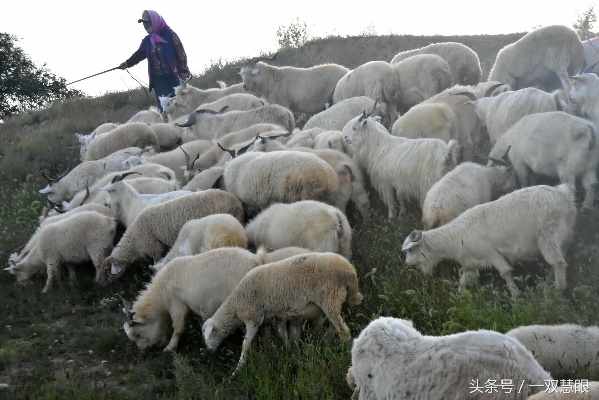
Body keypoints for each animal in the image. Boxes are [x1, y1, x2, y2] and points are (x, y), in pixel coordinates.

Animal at [102, 188, 244, 278]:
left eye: (112, 266)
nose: (112, 278)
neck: (134, 240)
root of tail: (235, 201)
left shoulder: (154, 248)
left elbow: (157, 262)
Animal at [202, 253, 364, 372]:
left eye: (209, 334)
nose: (209, 351)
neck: (235, 305)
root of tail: (350, 271)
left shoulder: (253, 318)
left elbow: (245, 345)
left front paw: (238, 370)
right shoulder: (279, 314)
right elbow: (282, 333)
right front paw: (288, 350)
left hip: (329, 298)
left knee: (344, 331)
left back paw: (344, 352)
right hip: (333, 302)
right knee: (334, 327)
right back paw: (324, 342)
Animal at [400, 184, 580, 294]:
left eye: (411, 249)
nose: (407, 264)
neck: (456, 235)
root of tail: (563, 195)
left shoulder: (490, 252)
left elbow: (505, 271)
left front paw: (515, 294)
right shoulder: (470, 263)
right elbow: (463, 282)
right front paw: (458, 300)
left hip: (548, 237)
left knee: (558, 263)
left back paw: (557, 290)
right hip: (564, 237)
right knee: (561, 260)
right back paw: (549, 282)